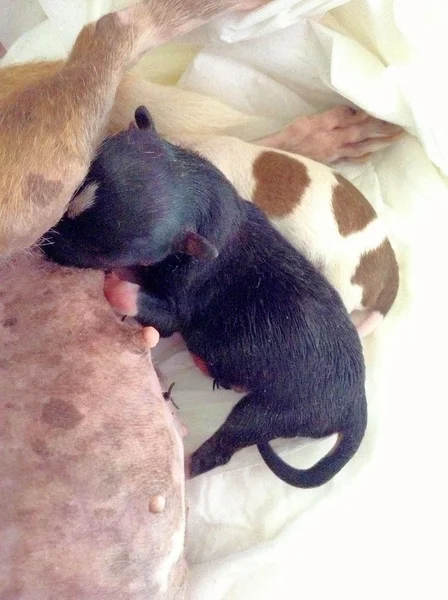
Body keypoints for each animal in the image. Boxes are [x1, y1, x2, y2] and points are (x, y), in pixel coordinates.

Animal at [43, 104, 368, 488]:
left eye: (103, 253)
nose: (44, 242)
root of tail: (356, 402)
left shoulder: (178, 305)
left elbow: (148, 305)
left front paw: (113, 283)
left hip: (277, 409)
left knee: (225, 445)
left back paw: (187, 465)